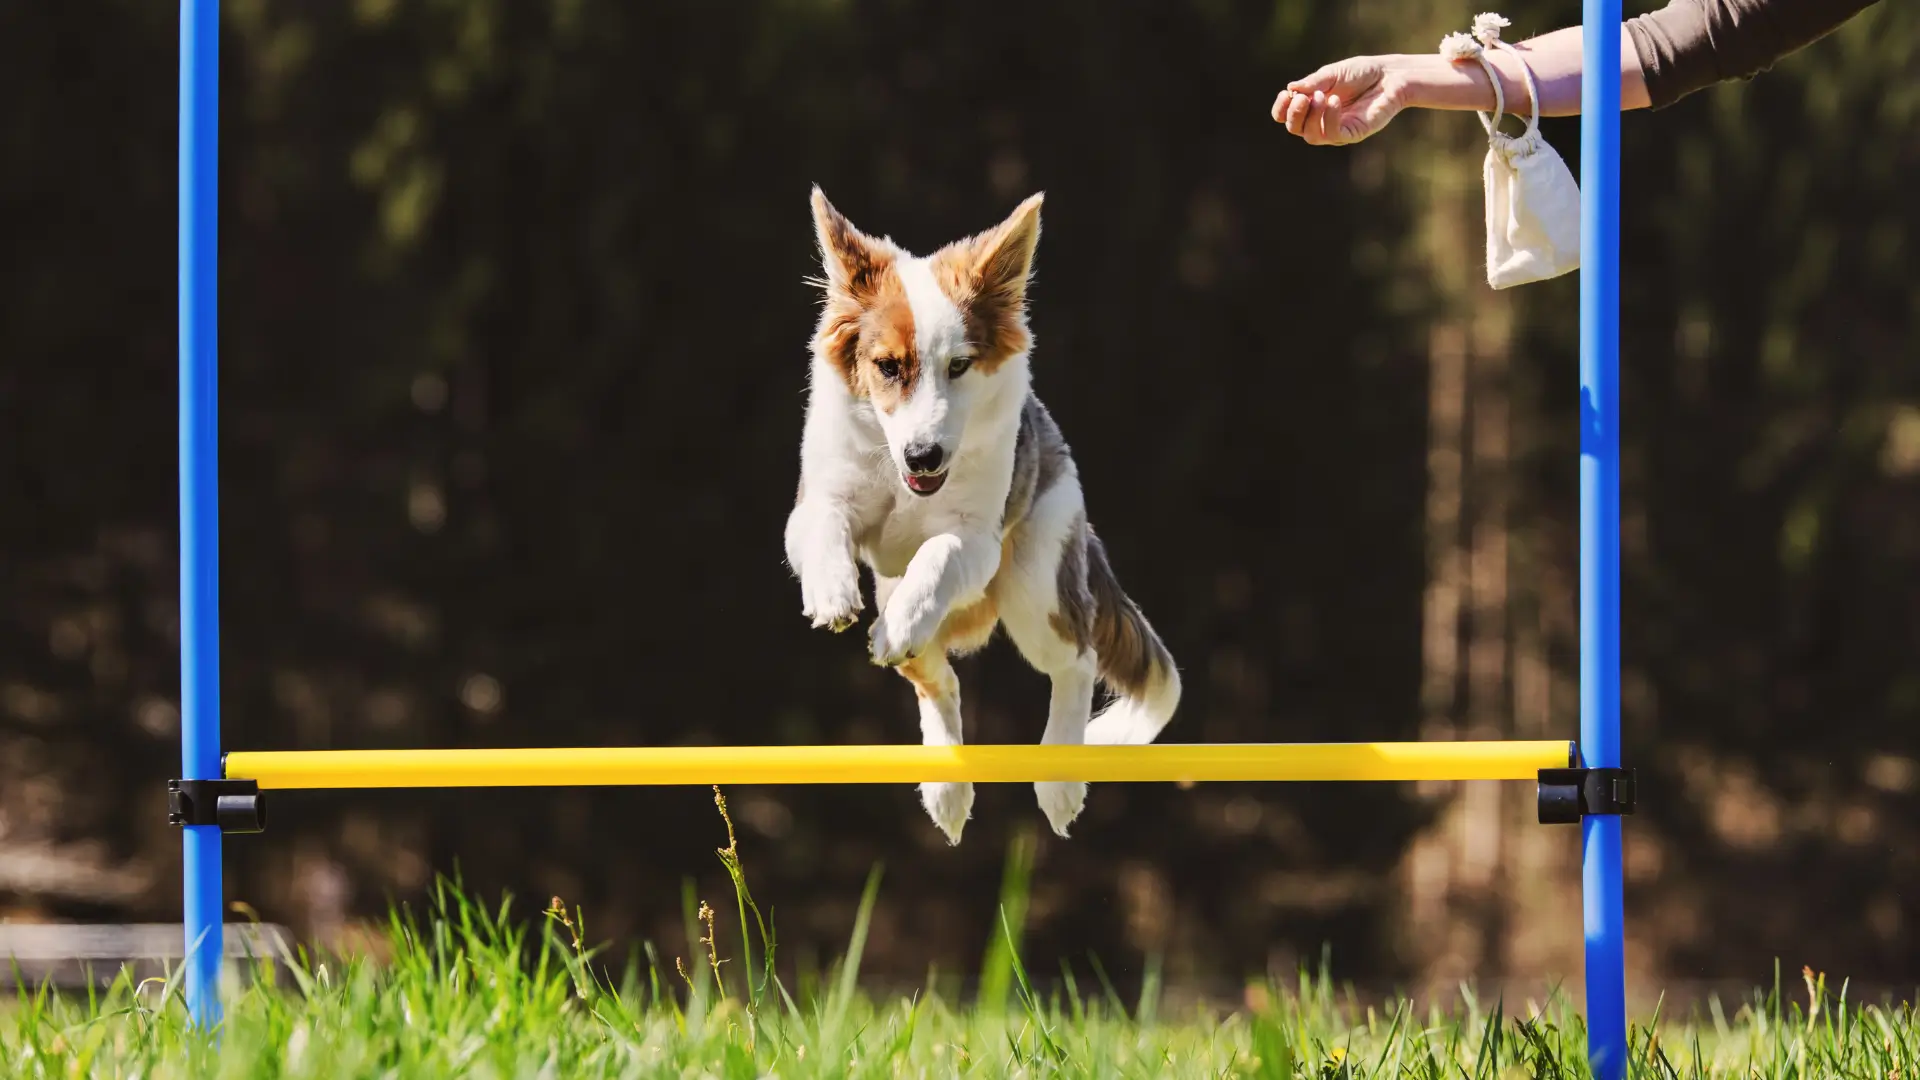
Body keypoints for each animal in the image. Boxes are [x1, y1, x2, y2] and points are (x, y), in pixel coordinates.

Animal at [783, 184, 1182, 841]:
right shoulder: (823, 495)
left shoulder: (979, 540)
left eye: (959, 366)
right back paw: (947, 786)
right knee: (937, 678)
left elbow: (939, 552)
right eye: (887, 366)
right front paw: (832, 593)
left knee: (1076, 658)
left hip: (1034, 582)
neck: (905, 483)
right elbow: (823, 524)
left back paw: (1059, 780)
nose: (924, 455)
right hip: (907, 597)